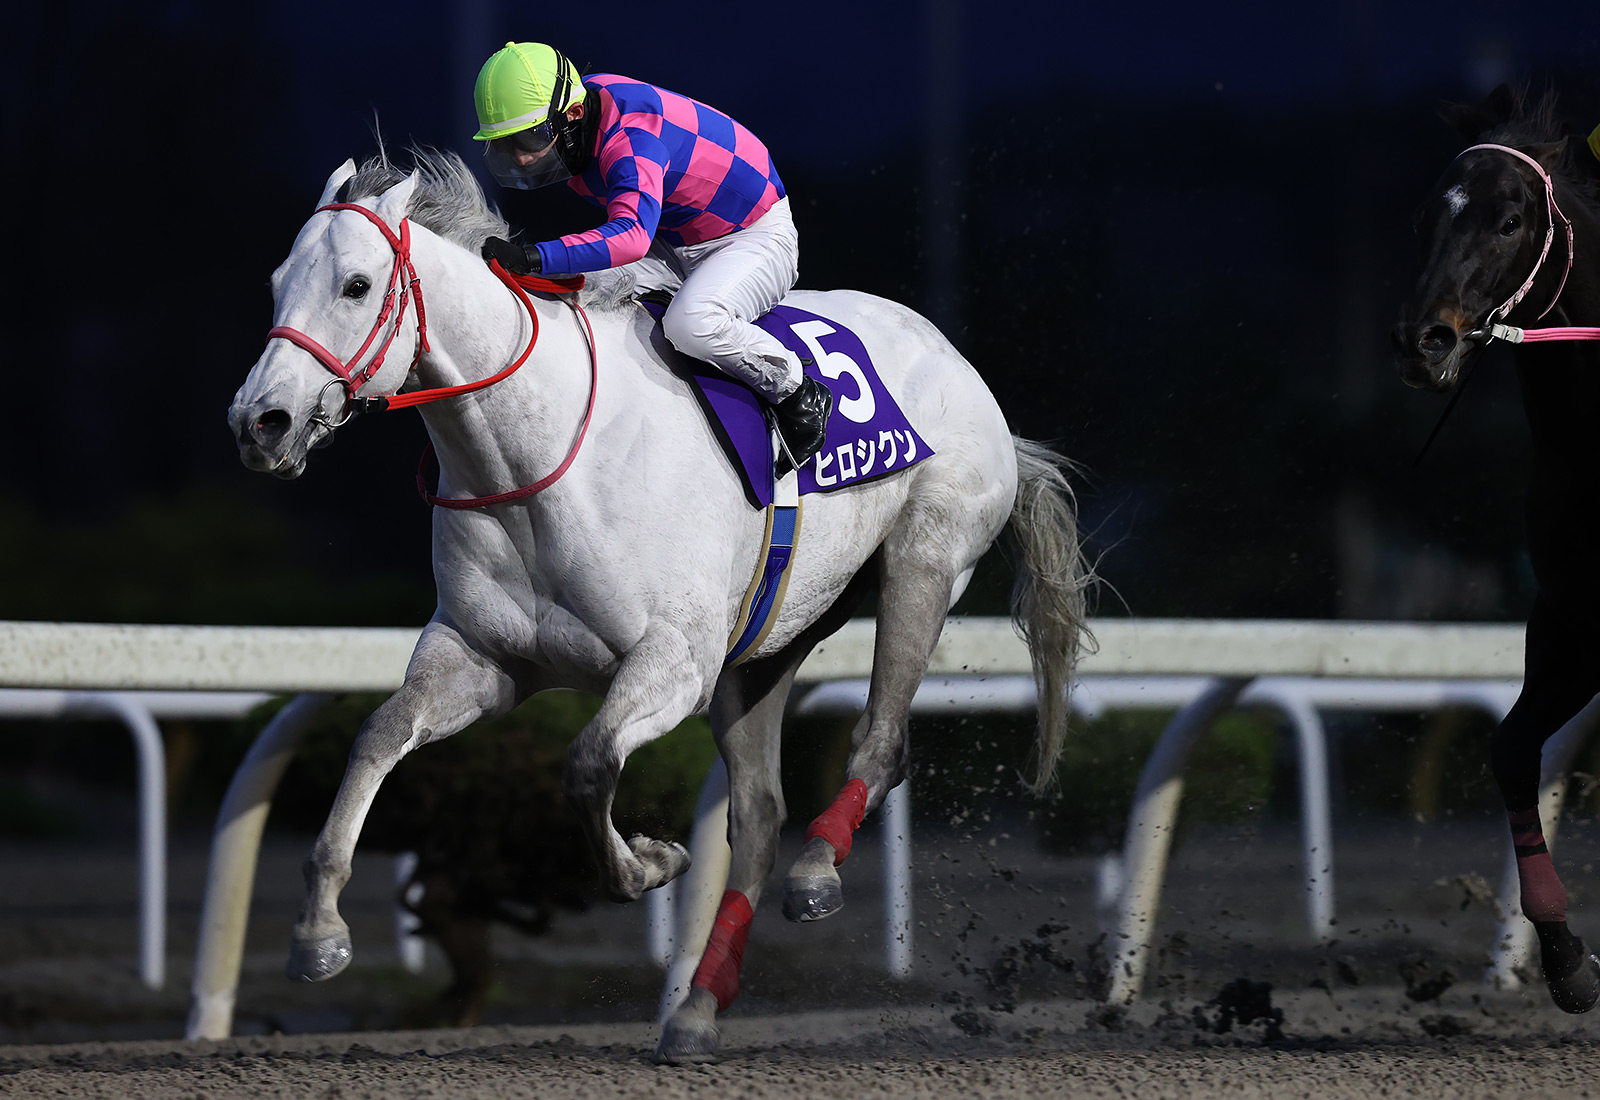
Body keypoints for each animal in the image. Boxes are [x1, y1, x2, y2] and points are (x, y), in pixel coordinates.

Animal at [227, 149, 1091, 1062]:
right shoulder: (481, 659)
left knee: (881, 743)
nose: (259, 422)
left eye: (357, 285)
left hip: (923, 565)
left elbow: (586, 765)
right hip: (767, 643)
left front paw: (651, 861)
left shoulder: (673, 661)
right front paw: (319, 934)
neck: (536, 452)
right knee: (758, 816)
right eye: (277, 280)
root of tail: (959, 361)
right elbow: (377, 735)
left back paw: (816, 873)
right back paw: (698, 1008)